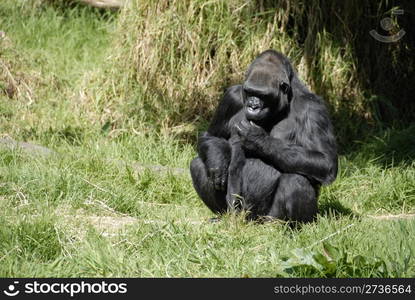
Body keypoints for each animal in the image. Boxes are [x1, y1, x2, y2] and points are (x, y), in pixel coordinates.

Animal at [190, 49, 340, 223]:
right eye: (249, 92)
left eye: (263, 95)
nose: (253, 106)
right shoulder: (231, 97)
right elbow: (211, 136)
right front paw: (218, 161)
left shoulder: (314, 108)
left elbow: (325, 161)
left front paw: (256, 139)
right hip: (237, 213)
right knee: (198, 164)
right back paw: (222, 216)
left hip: (266, 217)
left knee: (295, 178)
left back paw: (286, 226)